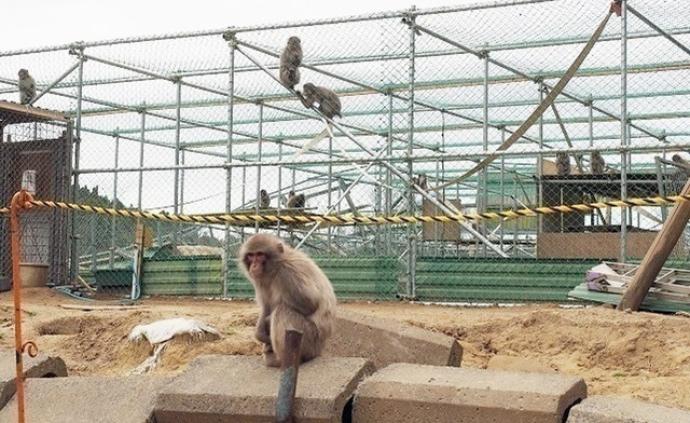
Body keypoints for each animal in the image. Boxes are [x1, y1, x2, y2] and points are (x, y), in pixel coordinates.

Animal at [238, 232, 334, 368]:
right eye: (251, 255)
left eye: (260, 254)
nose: (254, 265)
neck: (276, 266)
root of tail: (320, 349)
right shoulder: (259, 280)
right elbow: (266, 306)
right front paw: (260, 333)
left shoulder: (287, 272)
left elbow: (310, 304)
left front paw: (267, 322)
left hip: (310, 341)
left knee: (282, 311)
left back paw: (287, 361)